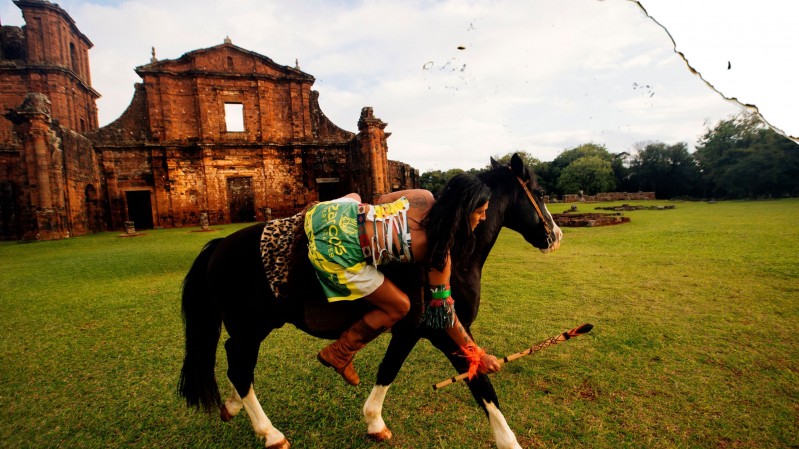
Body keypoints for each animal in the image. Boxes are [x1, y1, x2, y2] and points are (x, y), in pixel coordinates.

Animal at [178, 153, 563, 449]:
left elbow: (388, 369)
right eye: (539, 192)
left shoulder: (410, 330)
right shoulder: (443, 330)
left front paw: (374, 421)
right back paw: (271, 434)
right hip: (251, 327)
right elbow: (481, 383)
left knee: (234, 362)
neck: (455, 242)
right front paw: (509, 441)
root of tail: (219, 245)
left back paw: (233, 406)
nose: (556, 234)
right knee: (239, 367)